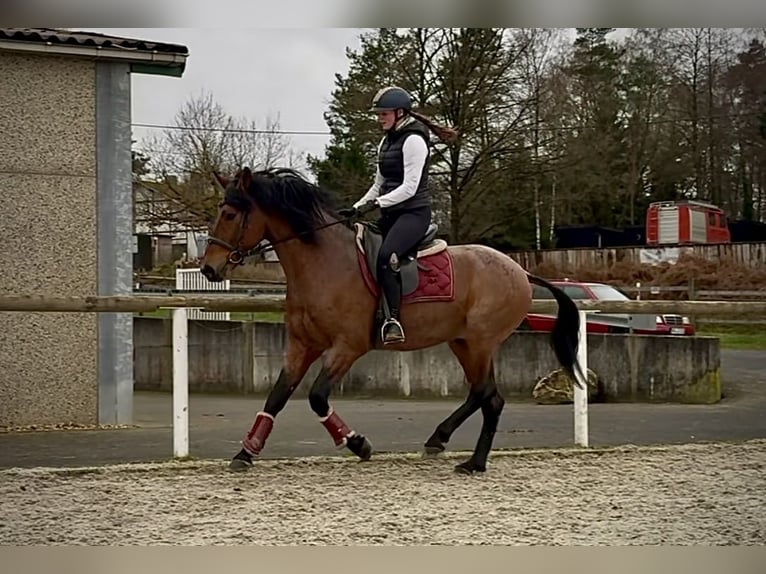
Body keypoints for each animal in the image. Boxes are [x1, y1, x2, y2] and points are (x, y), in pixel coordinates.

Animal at [200, 166, 584, 474]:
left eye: (230, 214)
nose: (208, 269)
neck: (323, 264)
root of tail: (519, 270)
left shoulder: (347, 347)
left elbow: (318, 397)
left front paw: (358, 444)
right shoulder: (301, 344)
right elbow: (277, 397)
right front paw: (246, 452)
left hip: (480, 343)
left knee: (490, 398)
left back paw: (473, 462)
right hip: (462, 342)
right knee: (482, 392)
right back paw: (440, 440)